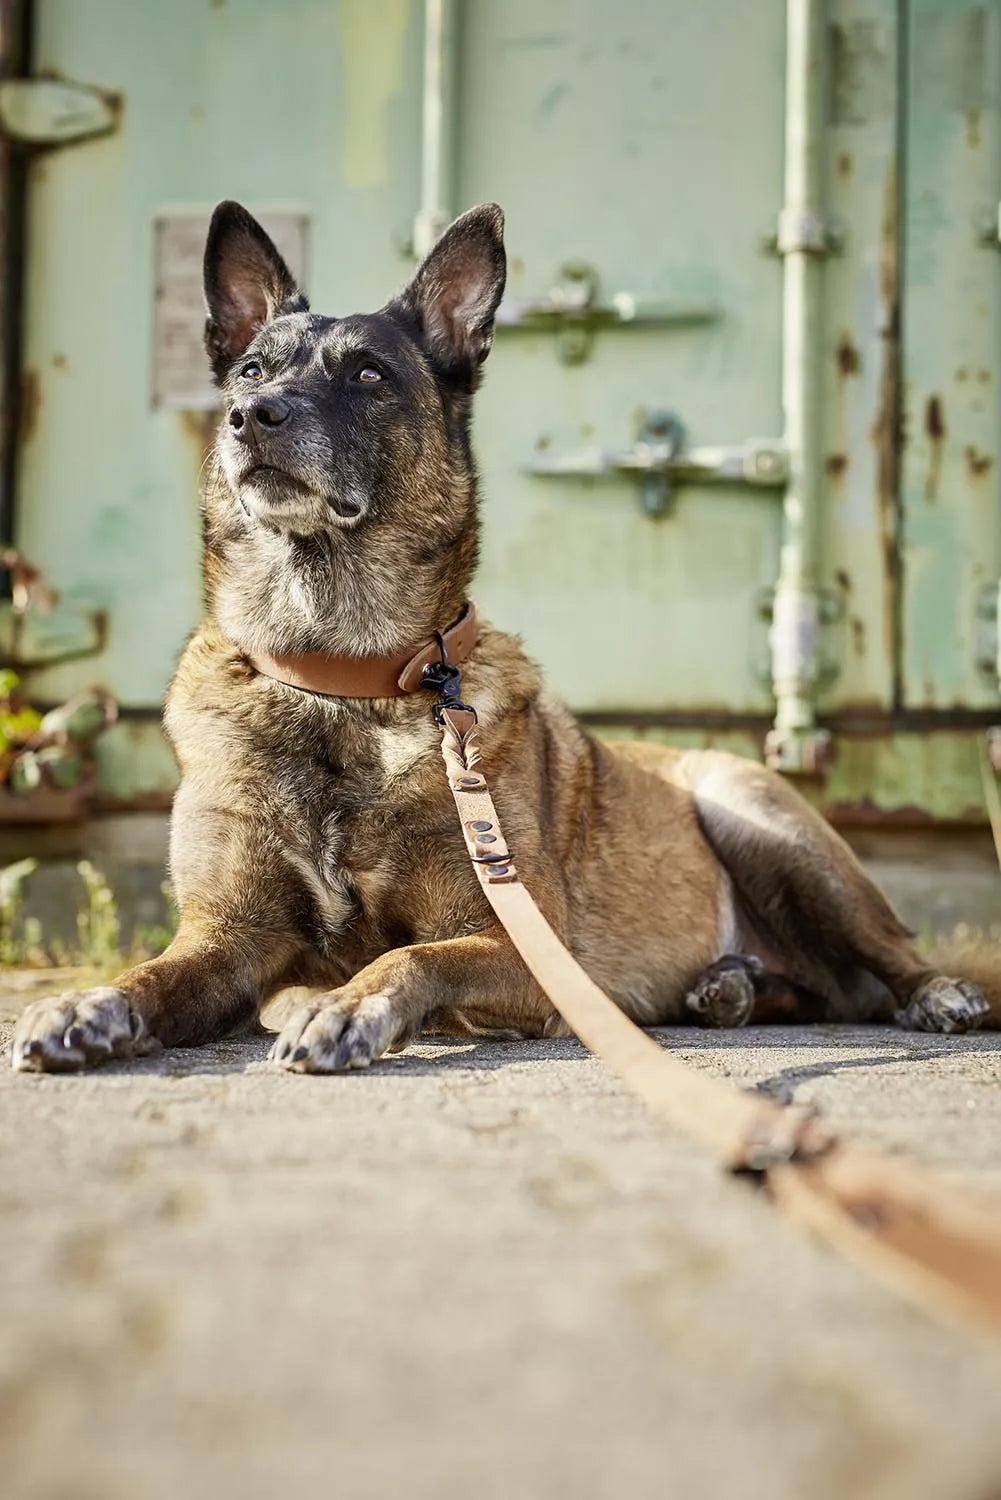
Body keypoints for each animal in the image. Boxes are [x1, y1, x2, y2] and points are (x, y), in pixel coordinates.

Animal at [9, 205, 1001, 1074]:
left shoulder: (521, 941)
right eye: (252, 369)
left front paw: (345, 1007)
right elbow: (155, 973)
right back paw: (729, 990)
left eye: (368, 375)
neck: (340, 676)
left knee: (886, 959)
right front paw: (87, 1003)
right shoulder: (227, 937)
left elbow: (408, 956)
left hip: (759, 821)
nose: (251, 418)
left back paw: (934, 994)